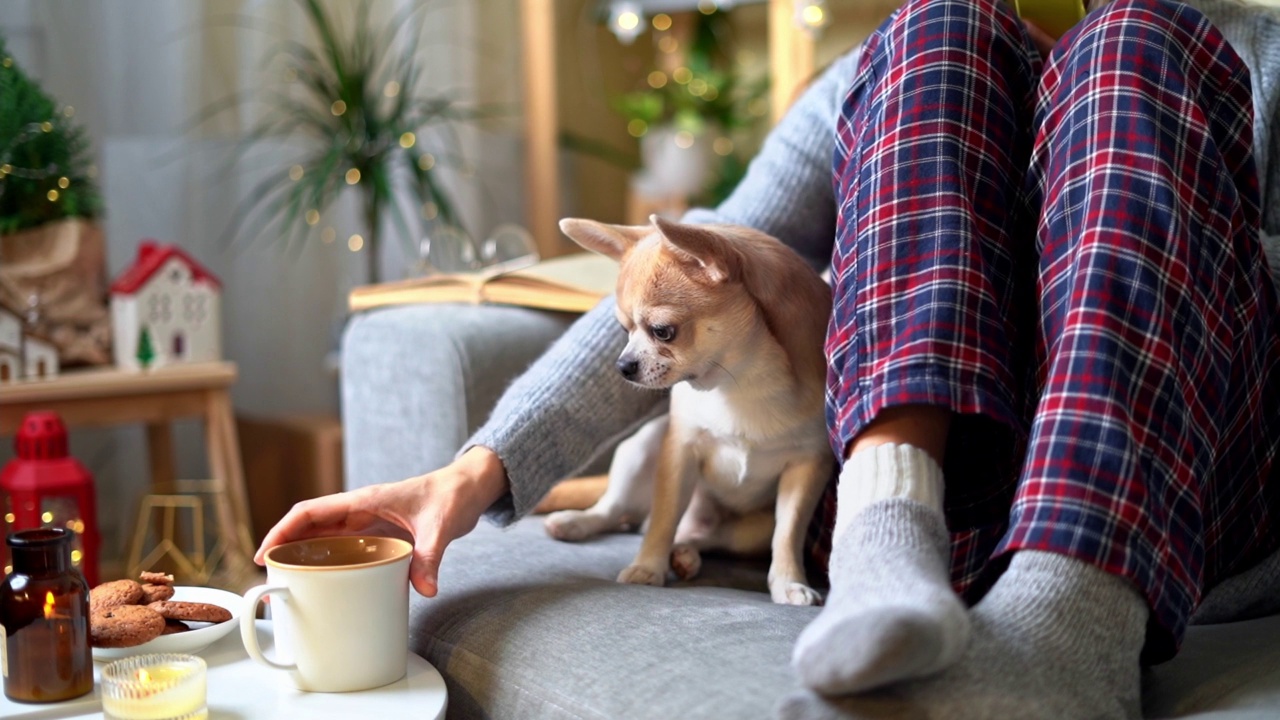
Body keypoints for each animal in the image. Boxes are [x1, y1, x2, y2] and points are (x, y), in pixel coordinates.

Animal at [545, 211, 834, 599]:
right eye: (624, 331)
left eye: (662, 331)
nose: (623, 366)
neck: (739, 381)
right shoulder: (679, 451)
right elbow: (664, 518)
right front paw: (647, 567)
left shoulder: (808, 467)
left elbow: (788, 534)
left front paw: (790, 583)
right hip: (644, 445)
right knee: (618, 510)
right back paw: (578, 522)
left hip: (749, 532)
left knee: (704, 537)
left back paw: (686, 555)